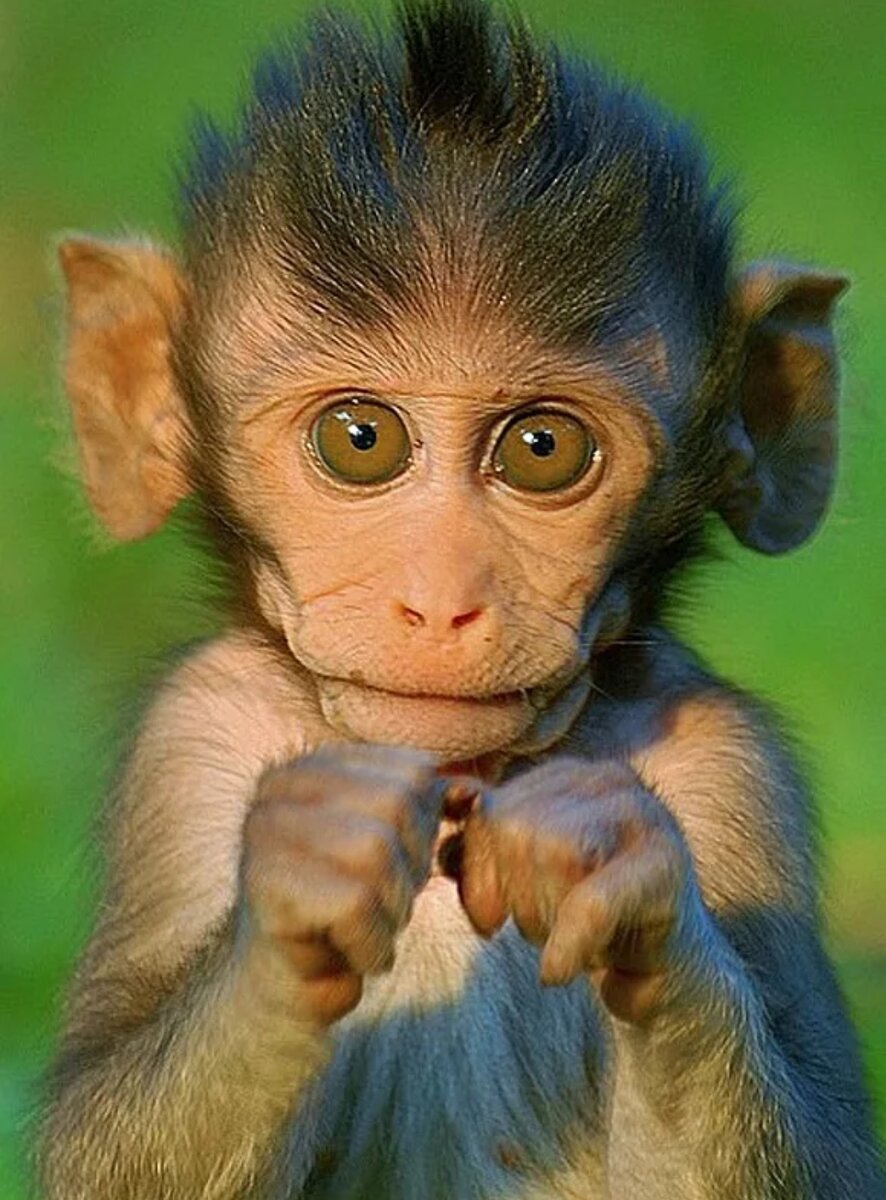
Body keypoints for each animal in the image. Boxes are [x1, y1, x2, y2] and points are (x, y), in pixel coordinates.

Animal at [36, 1, 885, 1197]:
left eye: (542, 448)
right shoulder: (191, 736)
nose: (441, 603)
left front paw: (608, 856)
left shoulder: (732, 765)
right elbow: (94, 1156)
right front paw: (303, 874)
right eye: (360, 439)